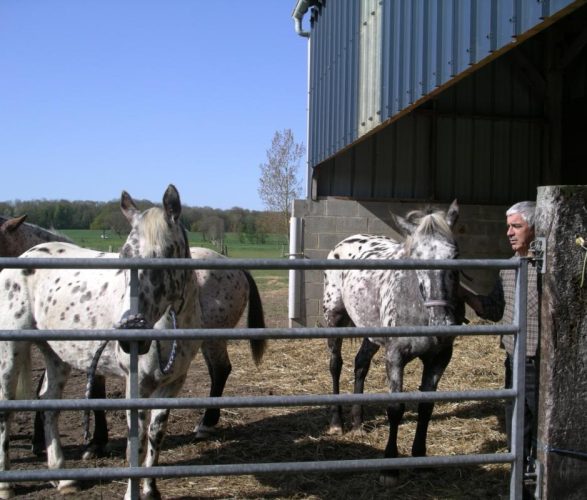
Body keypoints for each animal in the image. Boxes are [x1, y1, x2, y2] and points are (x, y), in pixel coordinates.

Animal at [0, 185, 202, 500]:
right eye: (125, 253)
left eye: (168, 252)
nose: (131, 334)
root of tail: (25, 256)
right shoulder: (136, 385)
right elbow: (136, 443)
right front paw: (133, 493)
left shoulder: (172, 384)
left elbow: (155, 435)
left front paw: (151, 489)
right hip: (12, 351)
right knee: (6, 409)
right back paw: (6, 484)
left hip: (57, 355)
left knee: (49, 403)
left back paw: (62, 477)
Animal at [324, 200, 462, 488]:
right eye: (416, 259)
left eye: (455, 255)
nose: (442, 320)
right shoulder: (395, 356)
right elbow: (395, 409)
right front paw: (389, 468)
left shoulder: (439, 358)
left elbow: (426, 407)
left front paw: (420, 457)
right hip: (333, 319)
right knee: (335, 365)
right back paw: (337, 423)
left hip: (371, 333)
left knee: (360, 364)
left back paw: (357, 423)